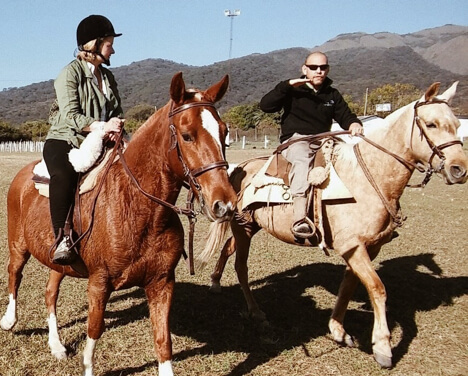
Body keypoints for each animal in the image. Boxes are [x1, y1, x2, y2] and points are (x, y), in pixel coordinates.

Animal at [0, 72, 238, 374]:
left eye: (224, 132)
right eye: (187, 135)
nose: (225, 204)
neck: (140, 209)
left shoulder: (162, 283)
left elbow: (163, 341)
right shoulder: (99, 282)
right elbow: (93, 332)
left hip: (57, 260)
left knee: (50, 293)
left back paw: (56, 345)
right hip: (18, 245)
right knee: (14, 274)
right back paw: (9, 320)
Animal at [200, 82, 468, 368]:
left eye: (456, 124)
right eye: (431, 124)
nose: (459, 169)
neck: (368, 176)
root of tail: (240, 168)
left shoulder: (366, 248)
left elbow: (349, 286)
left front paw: (338, 329)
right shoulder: (353, 246)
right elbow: (377, 288)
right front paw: (382, 347)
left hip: (250, 226)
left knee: (228, 248)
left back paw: (215, 281)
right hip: (244, 228)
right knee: (241, 266)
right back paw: (255, 311)